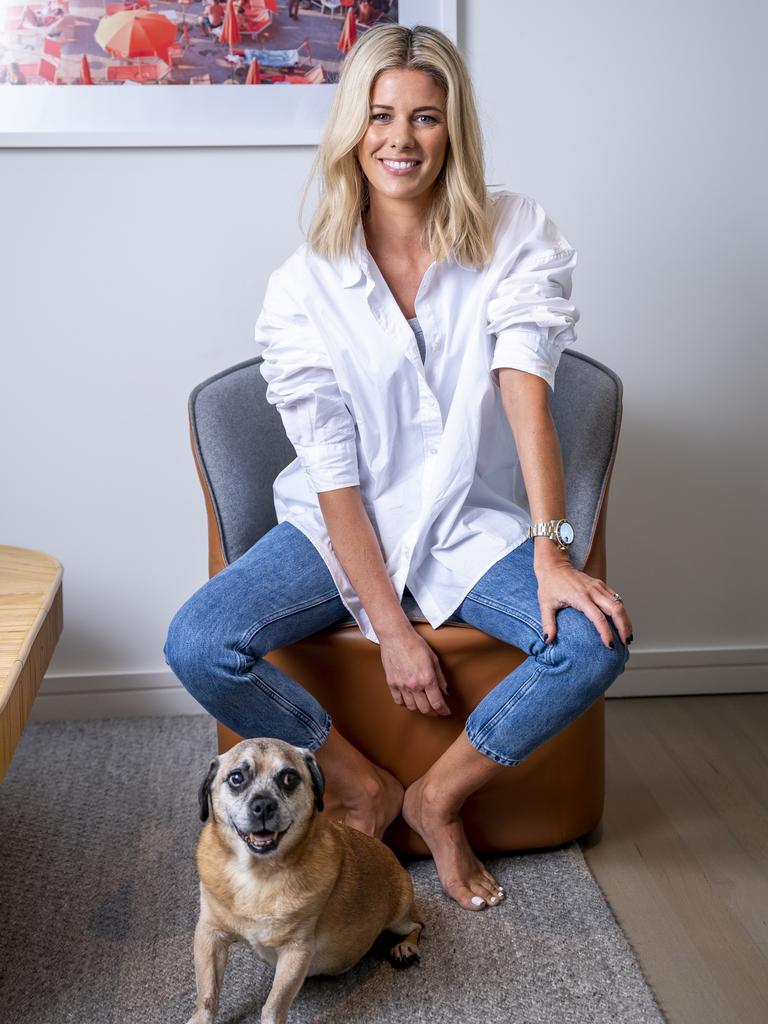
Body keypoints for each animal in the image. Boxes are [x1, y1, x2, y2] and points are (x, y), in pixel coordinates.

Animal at [187, 737, 428, 1024]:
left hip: (399, 917)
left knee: (418, 925)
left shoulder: (296, 951)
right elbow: (207, 995)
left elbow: (273, 1005)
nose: (263, 805)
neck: (259, 874)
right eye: (236, 778)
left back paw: (405, 948)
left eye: (289, 778)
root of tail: (391, 854)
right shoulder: (209, 935)